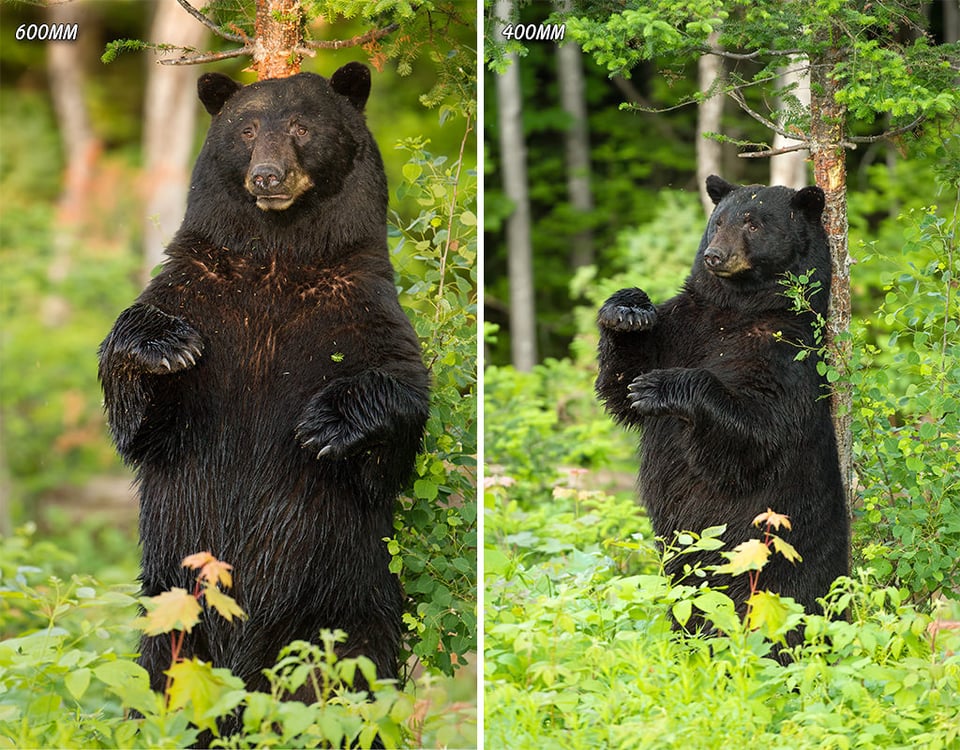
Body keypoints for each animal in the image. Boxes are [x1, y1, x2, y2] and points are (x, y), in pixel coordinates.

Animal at [99, 63, 430, 712]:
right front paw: (163, 345)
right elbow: (137, 419)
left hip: (342, 612)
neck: (278, 258)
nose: (267, 176)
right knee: (159, 683)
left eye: (301, 125)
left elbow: (401, 402)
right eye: (248, 129)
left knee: (348, 684)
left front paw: (328, 424)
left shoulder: (357, 306)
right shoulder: (202, 292)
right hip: (172, 614)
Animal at [596, 179, 852, 632]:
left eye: (753, 223)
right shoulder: (685, 324)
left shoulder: (786, 350)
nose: (715, 255)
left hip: (784, 557)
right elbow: (621, 384)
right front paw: (627, 310)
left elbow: (761, 427)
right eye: (718, 221)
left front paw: (661, 386)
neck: (739, 306)